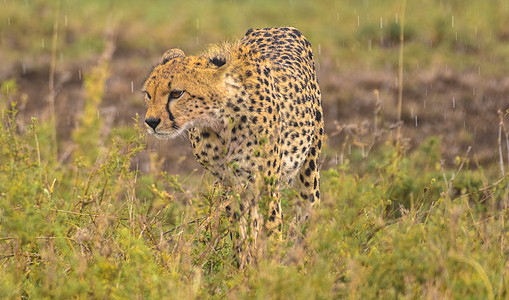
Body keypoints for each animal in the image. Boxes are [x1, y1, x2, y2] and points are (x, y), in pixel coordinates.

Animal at [143, 27, 324, 266]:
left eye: (176, 93)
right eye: (148, 94)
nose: (151, 122)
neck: (220, 122)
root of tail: (279, 27)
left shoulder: (265, 183)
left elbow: (271, 230)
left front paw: (271, 269)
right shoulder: (229, 183)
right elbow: (240, 231)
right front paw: (245, 268)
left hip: (309, 168)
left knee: (307, 213)